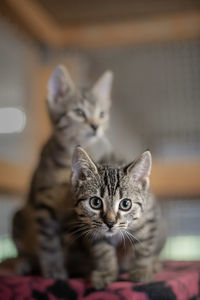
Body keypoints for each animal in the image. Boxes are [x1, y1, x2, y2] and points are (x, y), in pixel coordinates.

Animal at [68, 146, 165, 290]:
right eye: (95, 202)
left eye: (125, 204)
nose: (110, 222)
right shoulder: (93, 228)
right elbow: (103, 251)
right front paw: (106, 272)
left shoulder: (149, 217)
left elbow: (144, 245)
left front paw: (141, 270)